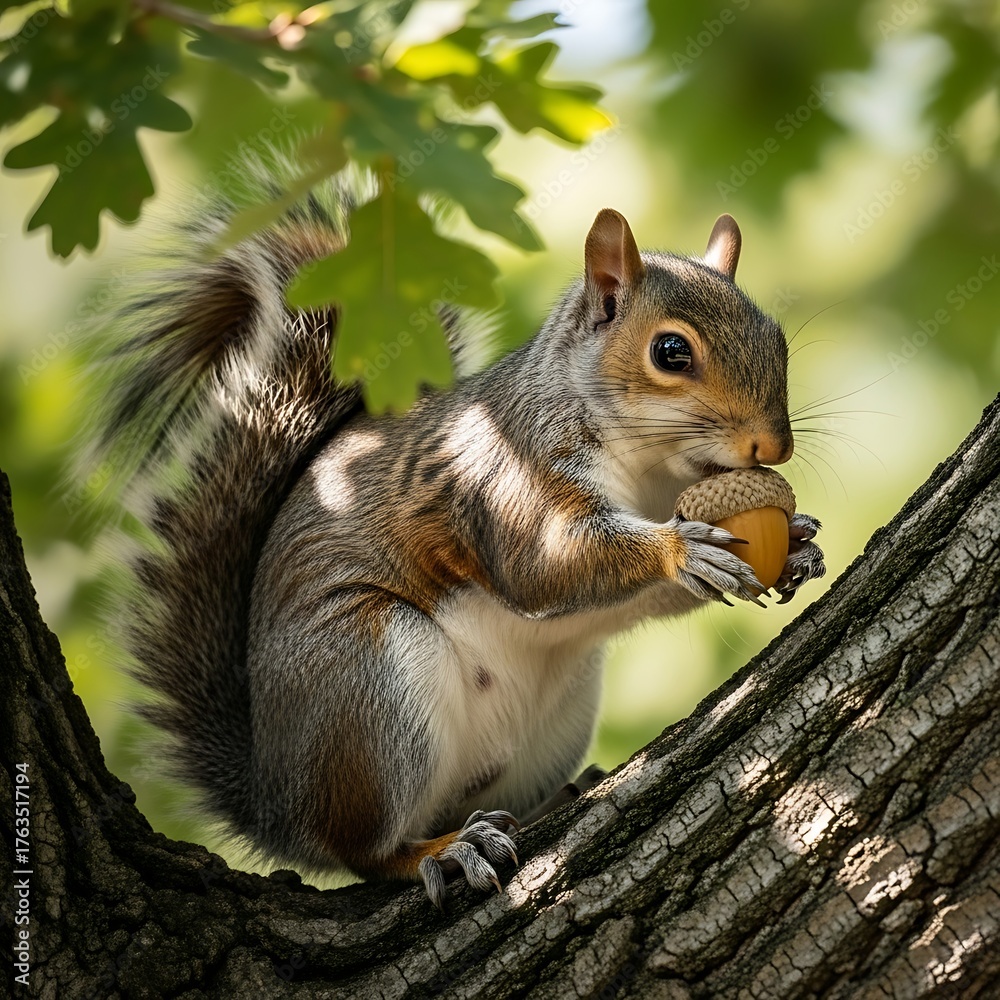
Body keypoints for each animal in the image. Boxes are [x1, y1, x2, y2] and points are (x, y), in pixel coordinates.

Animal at [94, 169, 825, 908]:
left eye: (778, 340)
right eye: (670, 352)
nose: (775, 448)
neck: (654, 474)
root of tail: (276, 804)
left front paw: (796, 543)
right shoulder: (512, 477)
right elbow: (546, 567)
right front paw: (682, 550)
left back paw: (554, 799)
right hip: (366, 685)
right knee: (364, 851)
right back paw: (443, 850)